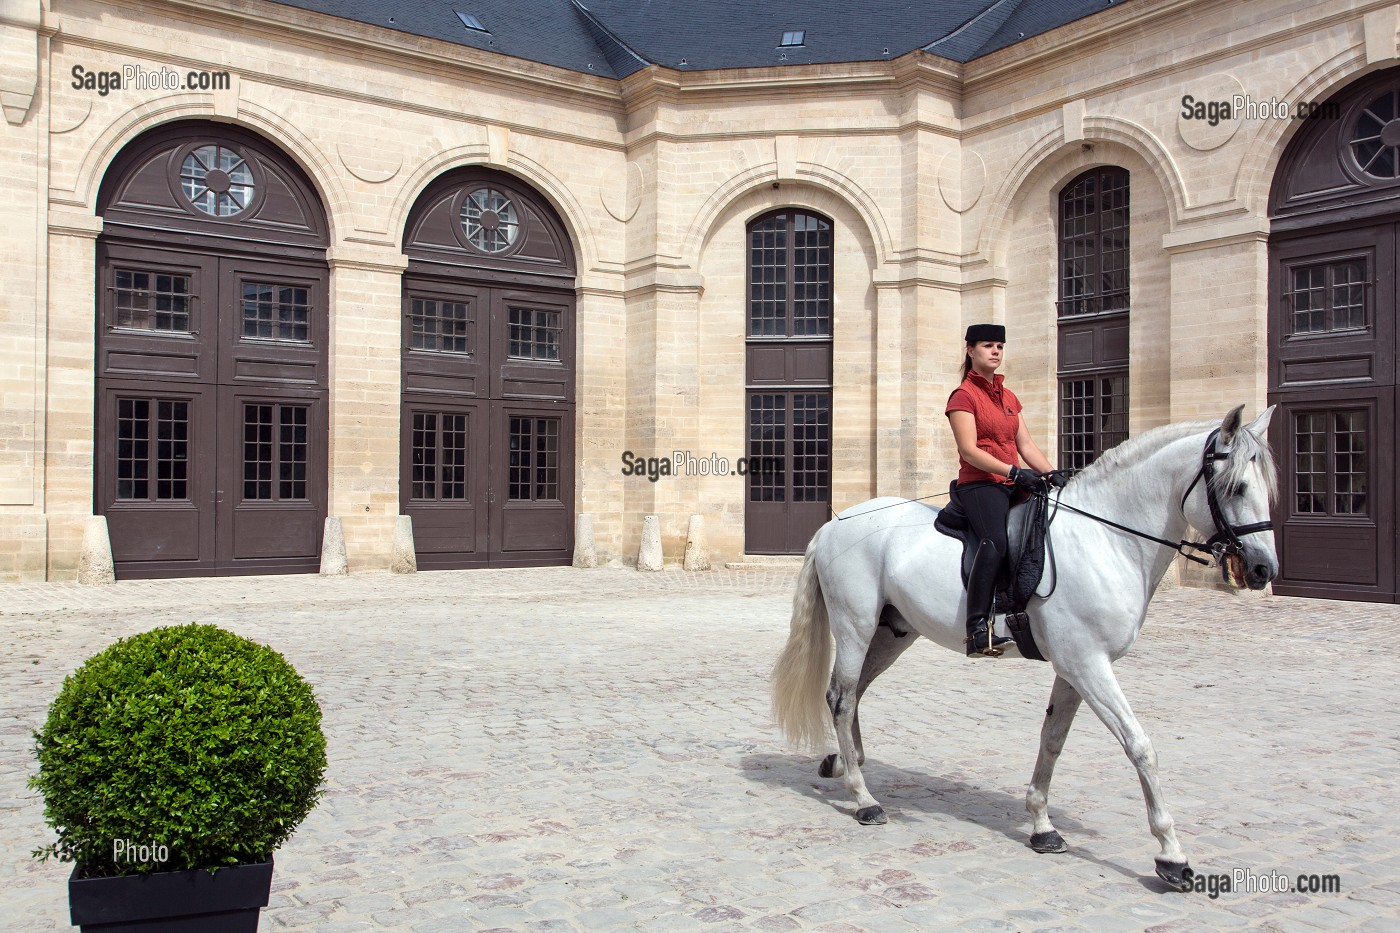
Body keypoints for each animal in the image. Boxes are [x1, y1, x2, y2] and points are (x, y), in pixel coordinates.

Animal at [778, 406, 1282, 885]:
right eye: (1236, 487)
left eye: (1264, 488)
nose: (1263, 570)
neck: (1106, 540)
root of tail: (836, 523)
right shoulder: (1088, 664)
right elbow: (1139, 745)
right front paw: (1171, 856)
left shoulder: (1073, 668)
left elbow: (1052, 739)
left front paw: (1042, 824)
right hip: (856, 625)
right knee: (842, 698)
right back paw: (863, 798)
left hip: (892, 633)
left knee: (854, 693)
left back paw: (844, 764)